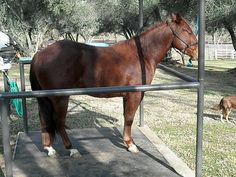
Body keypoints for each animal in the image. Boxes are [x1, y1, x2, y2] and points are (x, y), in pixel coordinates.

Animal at [30, 13, 198, 157]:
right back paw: (71, 149)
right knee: (59, 123)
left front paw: (128, 142)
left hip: (46, 98)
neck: (142, 54)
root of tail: (39, 54)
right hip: (60, 98)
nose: (196, 53)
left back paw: (49, 148)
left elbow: (126, 117)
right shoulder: (134, 94)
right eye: (186, 30)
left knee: (44, 119)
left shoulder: (126, 95)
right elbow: (129, 118)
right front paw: (130, 145)